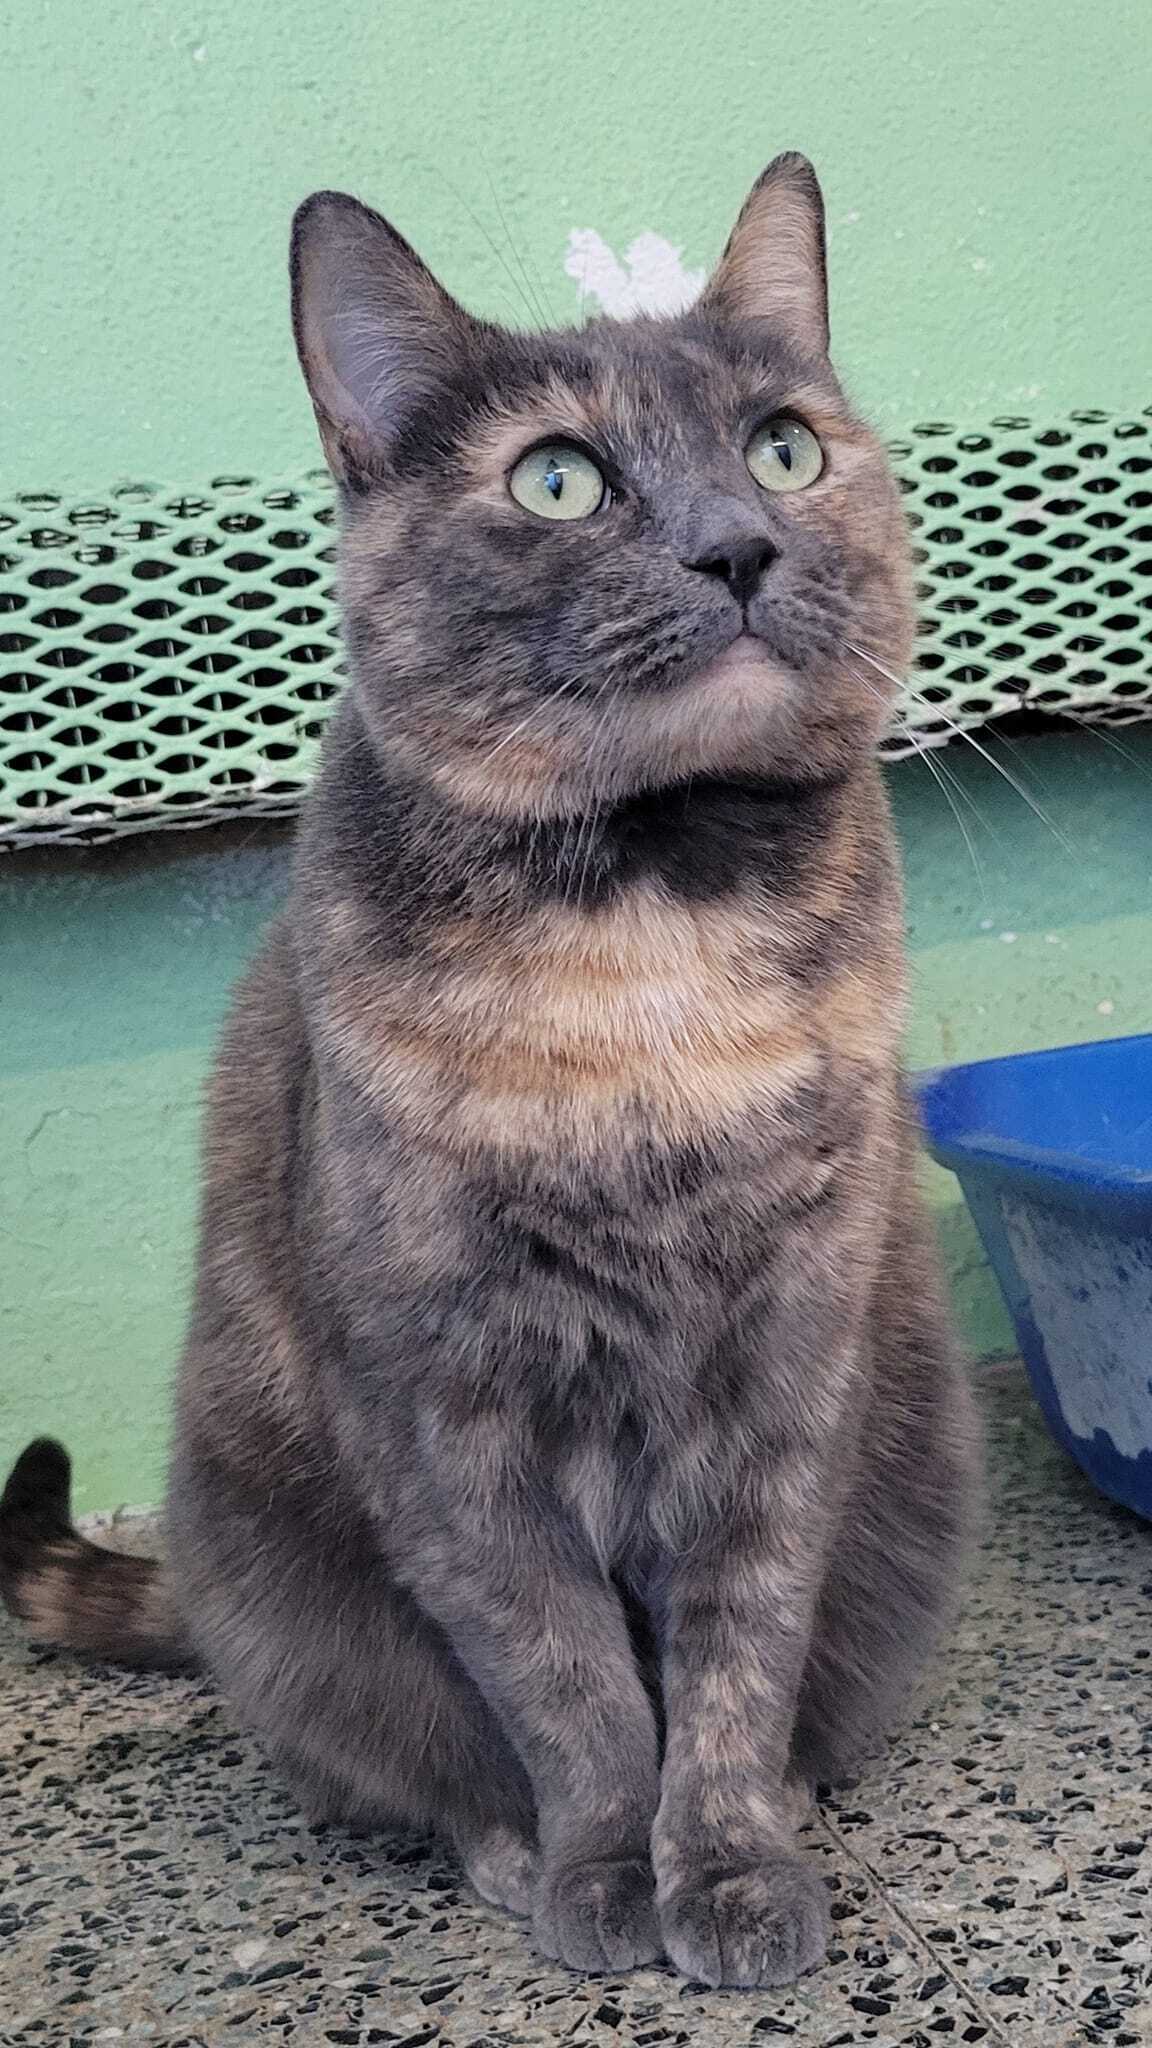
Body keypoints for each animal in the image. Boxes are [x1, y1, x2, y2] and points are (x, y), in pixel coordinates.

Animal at [4, 155, 983, 1982]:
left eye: (783, 446)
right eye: (556, 479)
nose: (736, 545)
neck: (649, 937)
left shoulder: (789, 1358)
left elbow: (737, 1648)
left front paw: (729, 1866)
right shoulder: (444, 1400)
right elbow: (563, 1672)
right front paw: (604, 1866)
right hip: (285, 1585)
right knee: (414, 1753)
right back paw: (509, 1851)